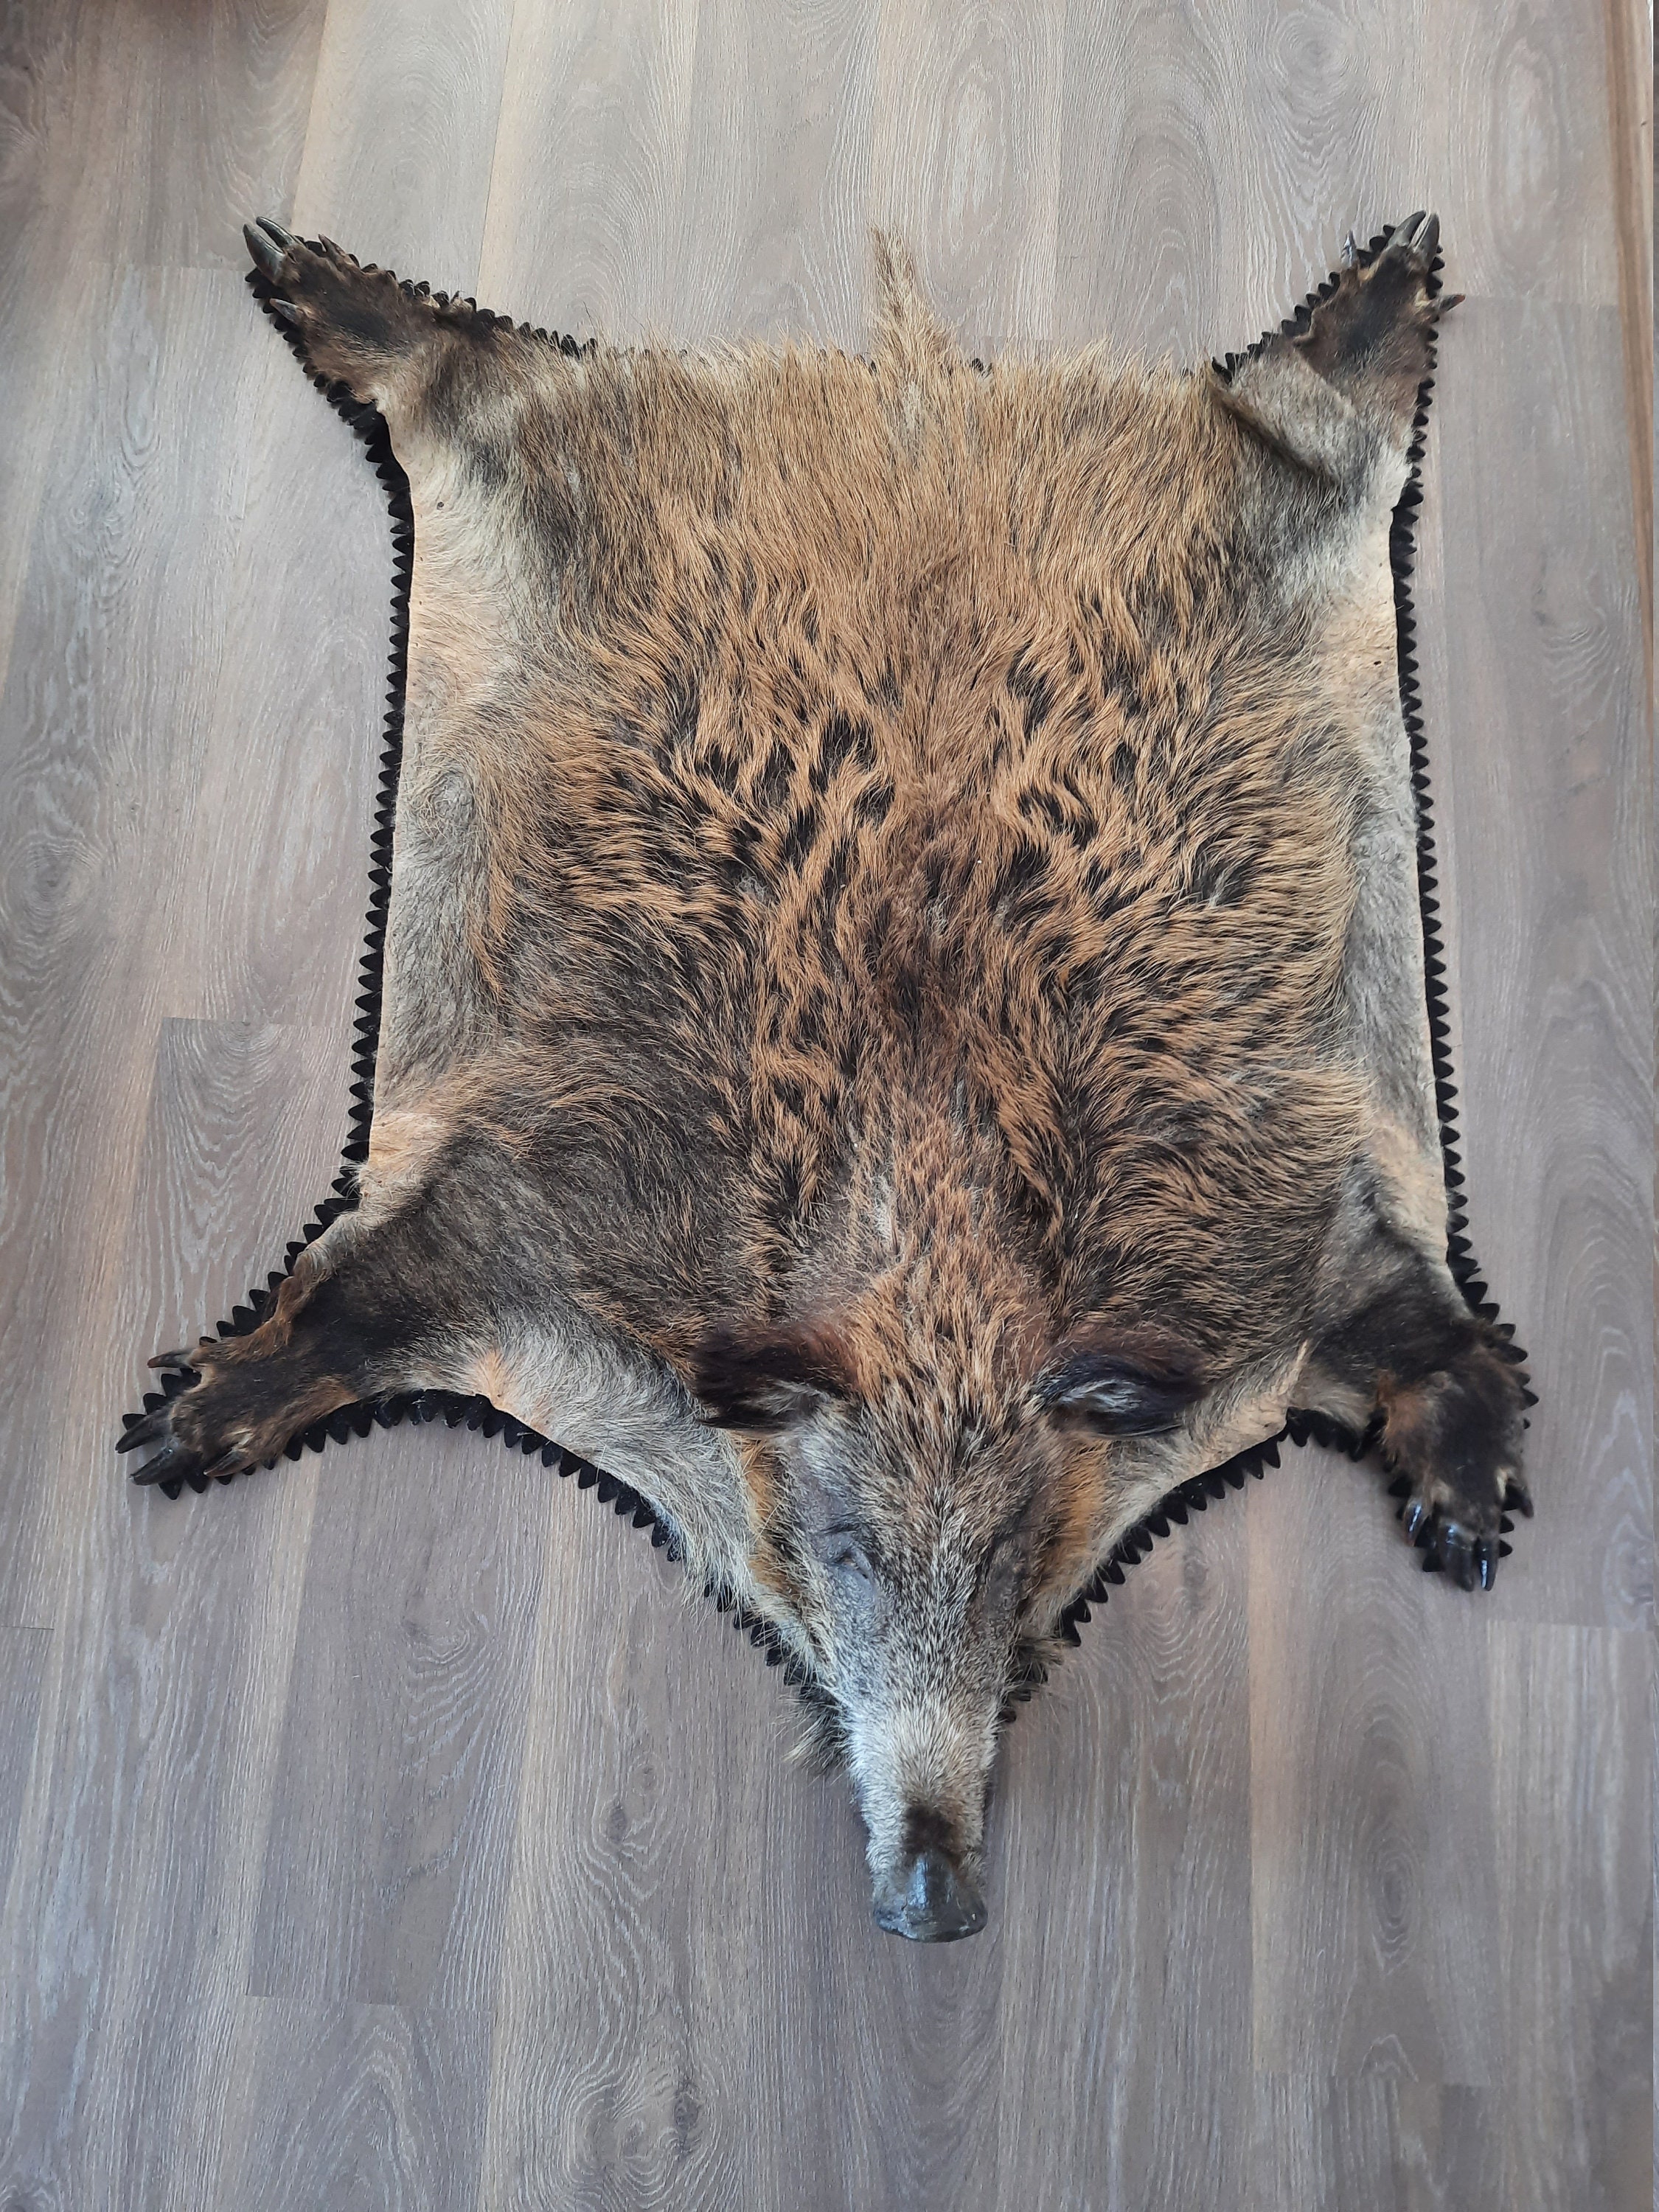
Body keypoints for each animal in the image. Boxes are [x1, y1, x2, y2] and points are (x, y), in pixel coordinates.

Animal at [120, 212, 1529, 1940]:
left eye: (1019, 1568)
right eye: (846, 1552)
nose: (937, 1895)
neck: (935, 1241)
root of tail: (908, 389)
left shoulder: (1295, 1232)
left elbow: (1434, 1332)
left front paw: (1473, 1533)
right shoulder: (544, 1213)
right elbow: (362, 1300)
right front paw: (167, 1432)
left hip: (1294, 542)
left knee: (1323, 428)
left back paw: (1398, 273)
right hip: (543, 473)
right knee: (472, 381)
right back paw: (297, 266)